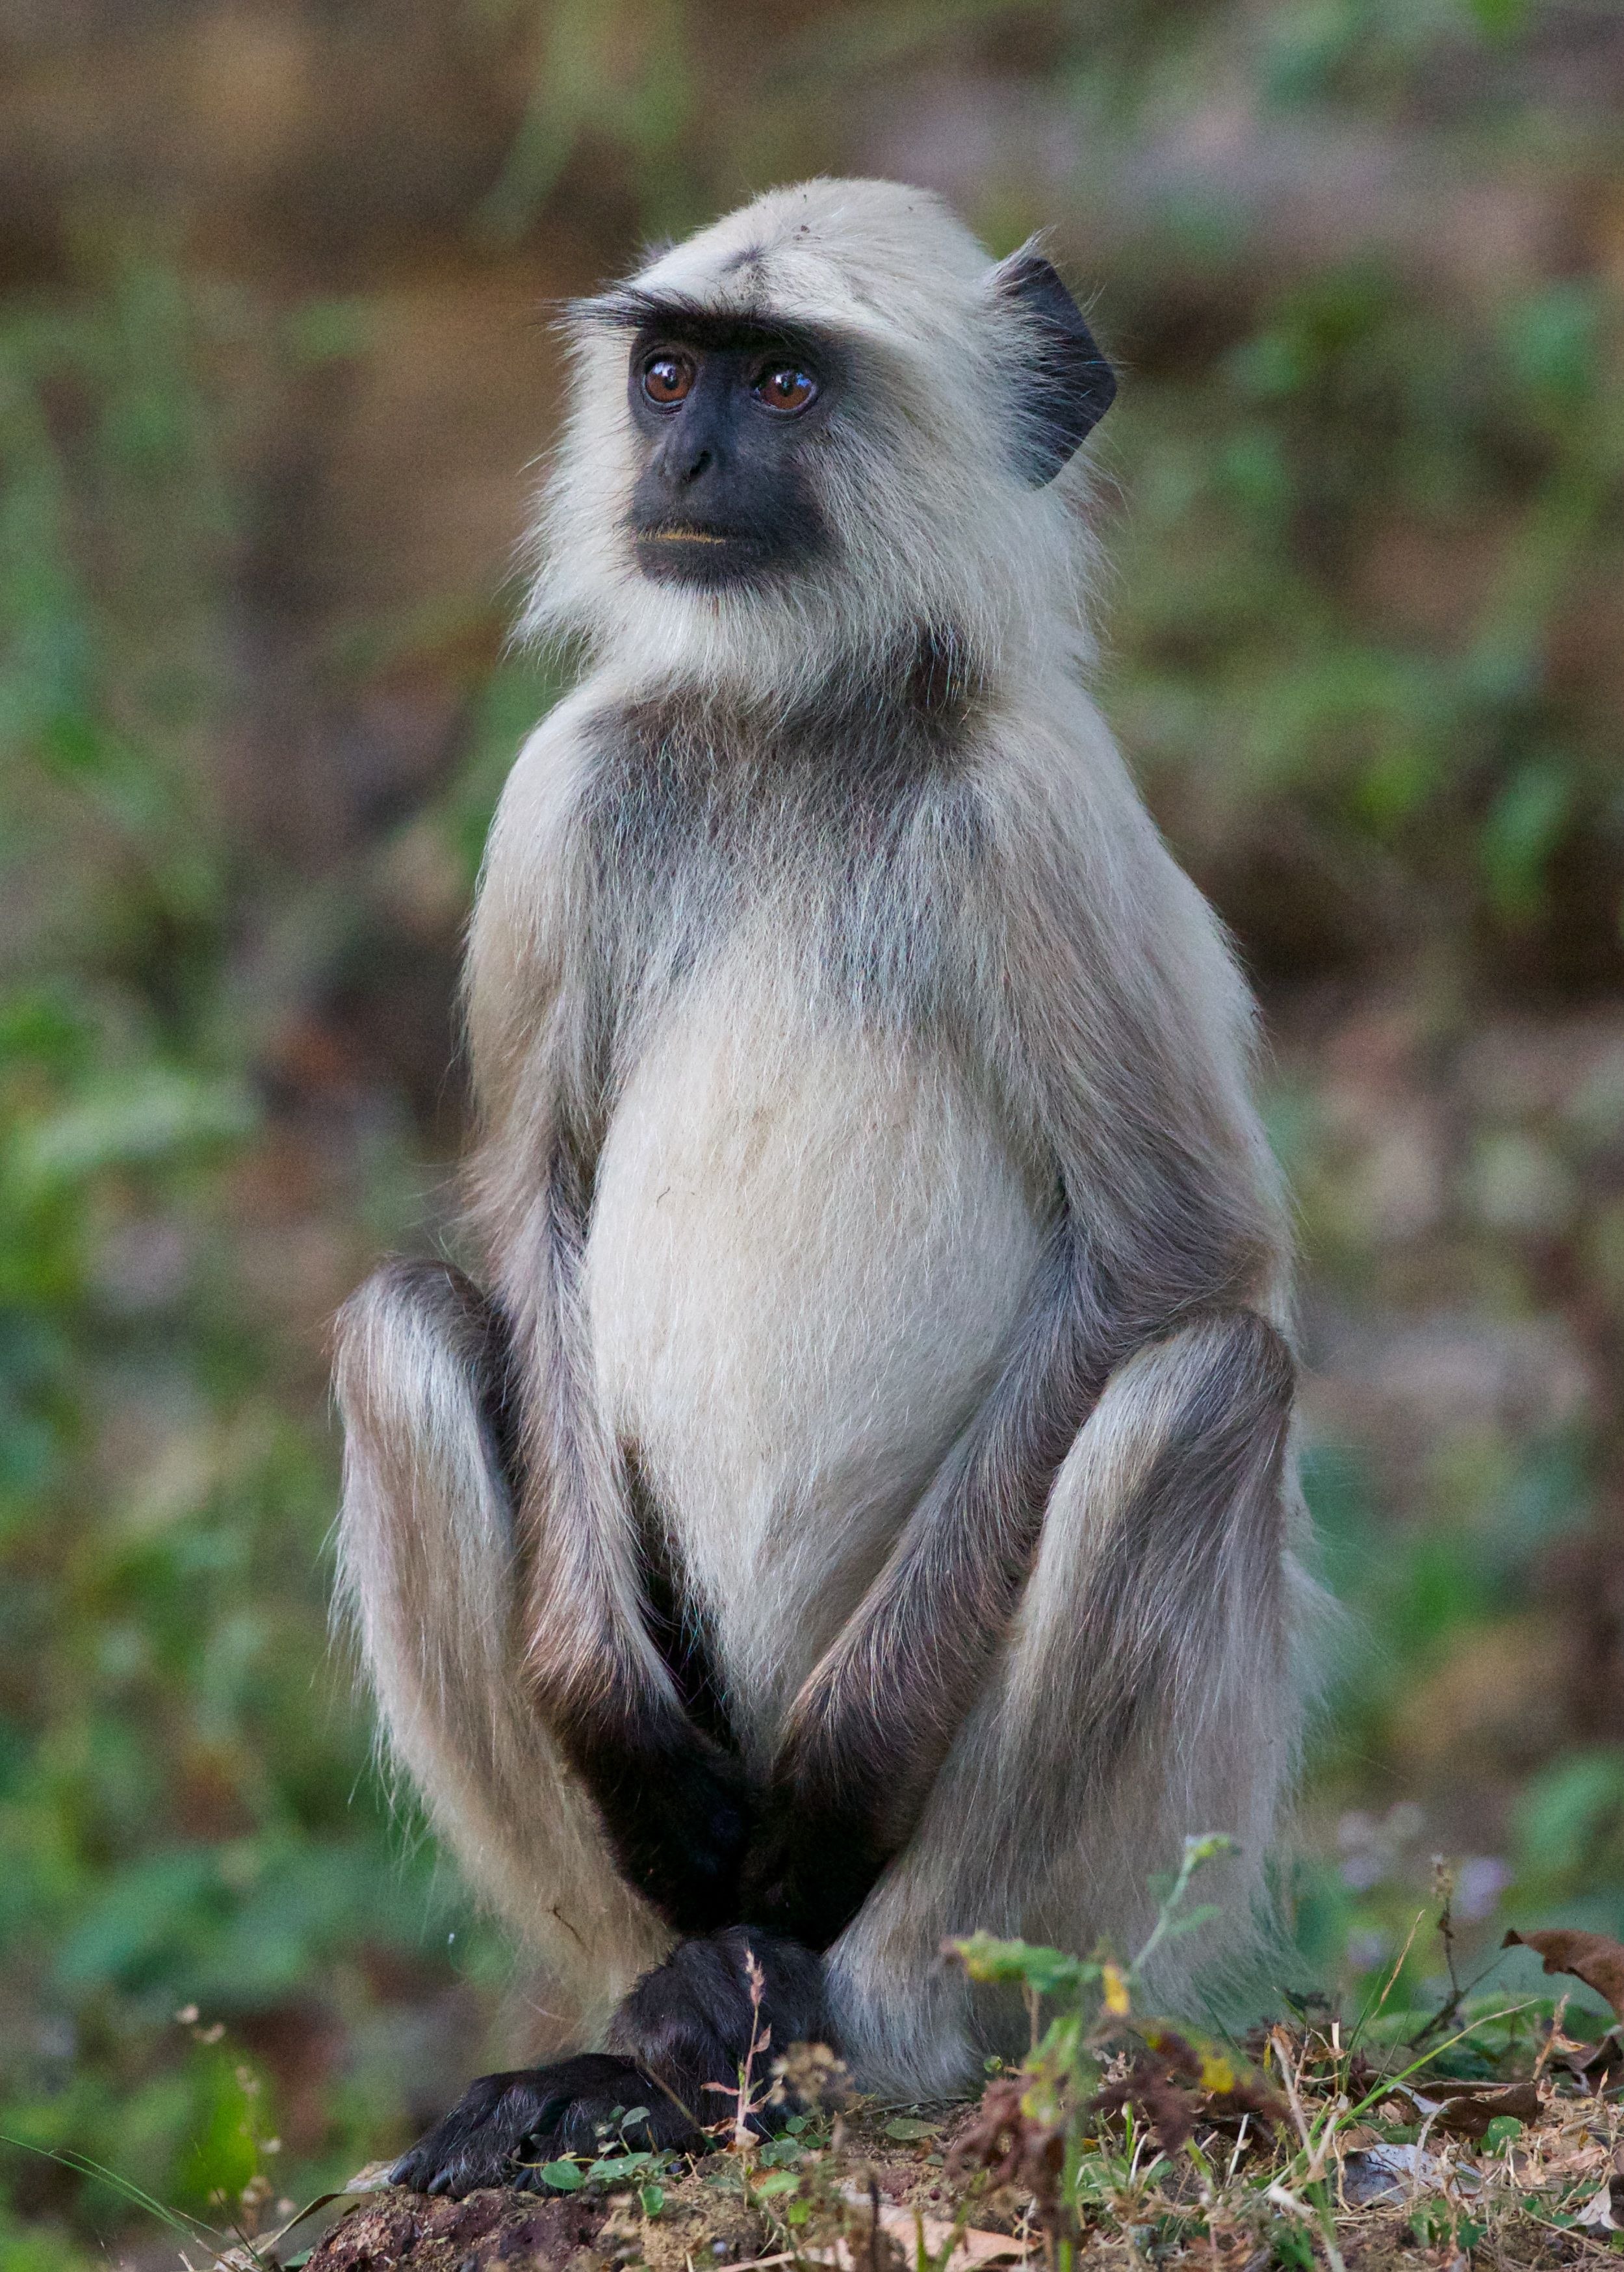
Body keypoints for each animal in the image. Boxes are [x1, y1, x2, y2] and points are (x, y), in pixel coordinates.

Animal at [333, 177, 1308, 2199]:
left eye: (782, 385)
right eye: (667, 372)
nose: (685, 460)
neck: (797, 720)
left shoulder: (1034, 810)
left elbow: (1177, 1249)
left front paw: (837, 1781)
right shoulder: (568, 794)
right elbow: (531, 1204)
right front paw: (614, 1731)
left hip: (1091, 1910)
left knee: (1203, 1385)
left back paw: (848, 2025)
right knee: (401, 1330)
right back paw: (653, 2020)